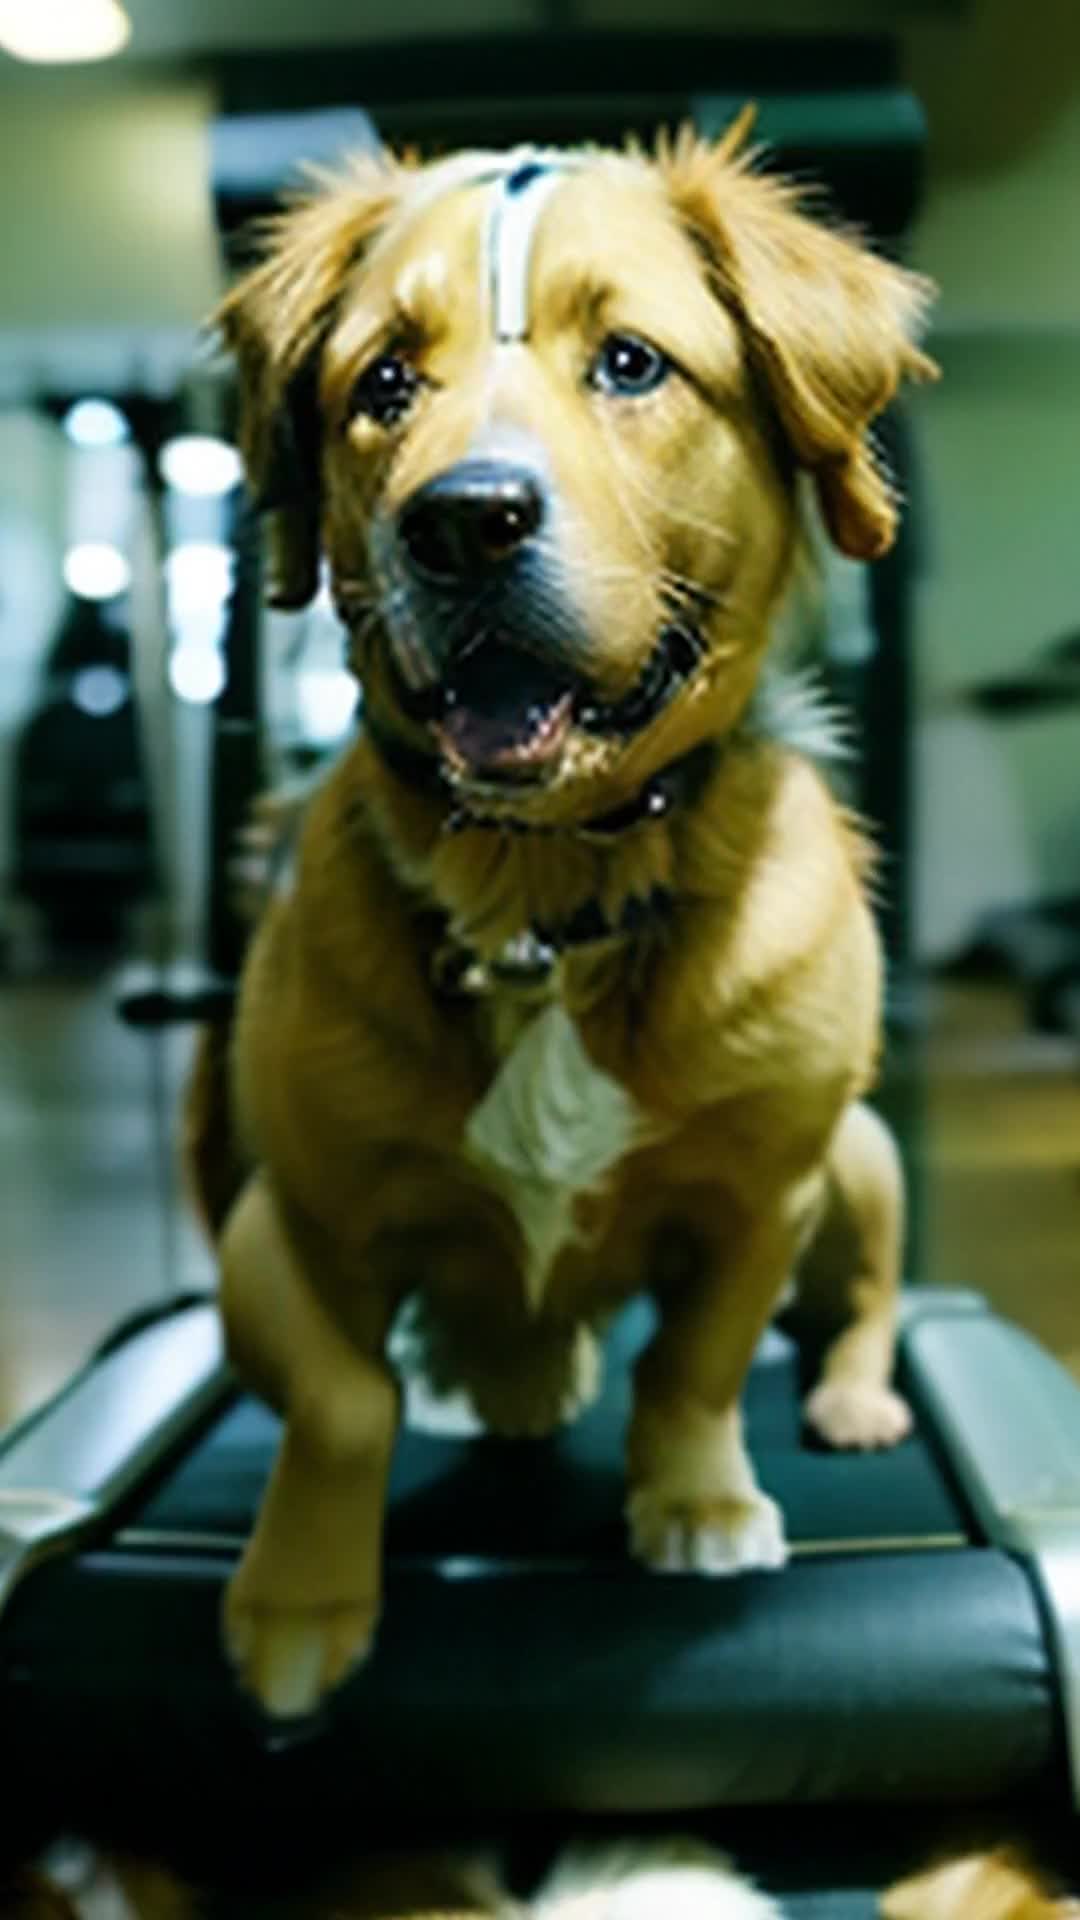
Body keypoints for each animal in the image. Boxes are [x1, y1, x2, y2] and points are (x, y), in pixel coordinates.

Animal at [184, 112, 933, 1720]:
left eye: (634, 364)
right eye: (382, 385)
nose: (465, 524)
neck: (544, 890)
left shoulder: (764, 1194)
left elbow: (697, 1364)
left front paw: (694, 1499)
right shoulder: (291, 1220)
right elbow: (346, 1400)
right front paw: (300, 1603)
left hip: (866, 1156)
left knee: (867, 1298)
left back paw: (850, 1398)